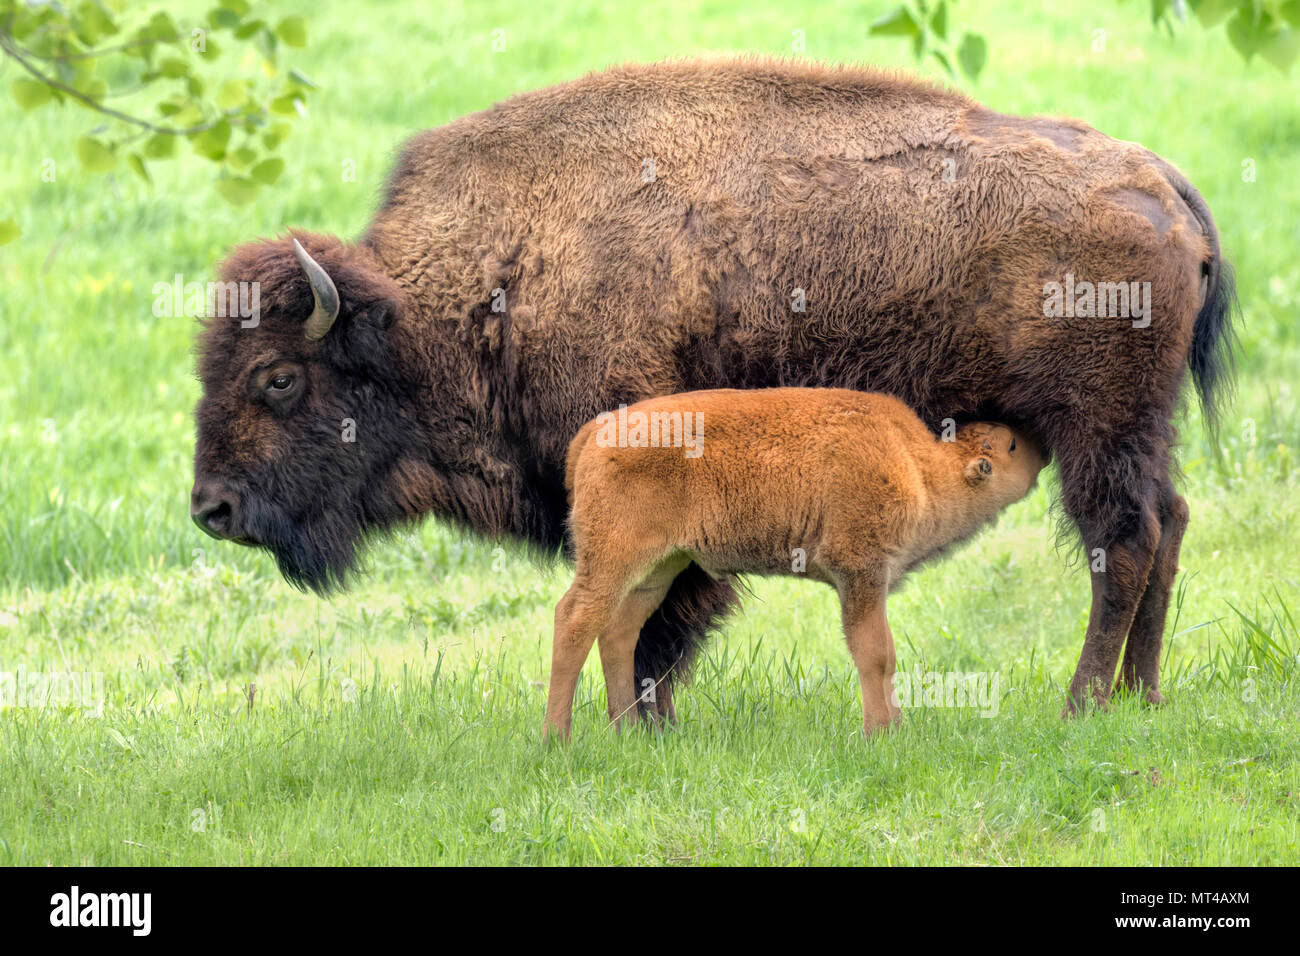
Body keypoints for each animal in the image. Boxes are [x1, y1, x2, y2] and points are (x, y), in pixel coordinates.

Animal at [540, 390, 1045, 738]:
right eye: (1010, 447)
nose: (1042, 446)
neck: (919, 467)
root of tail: (594, 435)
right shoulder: (859, 573)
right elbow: (874, 654)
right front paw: (878, 732)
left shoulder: (871, 582)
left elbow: (886, 654)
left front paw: (897, 727)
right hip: (612, 560)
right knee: (574, 620)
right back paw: (557, 738)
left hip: (658, 569)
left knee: (618, 632)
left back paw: (626, 730)